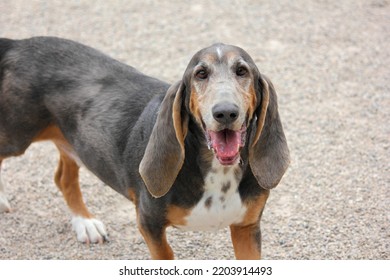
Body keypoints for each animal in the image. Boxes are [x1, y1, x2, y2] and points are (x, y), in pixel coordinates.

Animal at [0, 36, 290, 260]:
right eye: (201, 74)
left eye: (242, 71)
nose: (226, 112)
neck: (217, 170)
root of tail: (17, 44)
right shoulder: (149, 224)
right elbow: (166, 255)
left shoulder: (246, 228)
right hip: (16, 137)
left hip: (72, 140)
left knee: (63, 178)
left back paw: (85, 223)